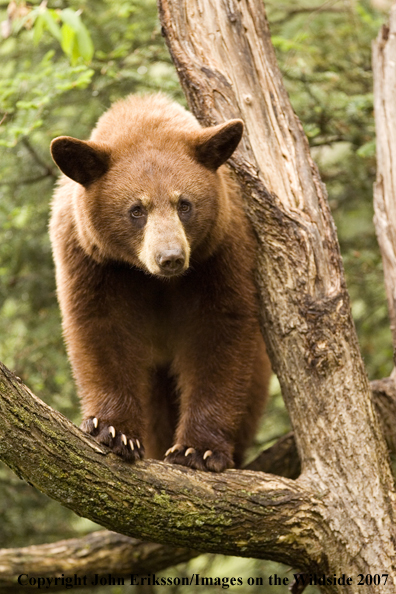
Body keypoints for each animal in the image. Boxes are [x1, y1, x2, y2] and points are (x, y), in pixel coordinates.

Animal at [49, 93, 270, 472]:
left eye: (185, 204)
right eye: (136, 210)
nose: (171, 258)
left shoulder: (222, 251)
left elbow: (219, 334)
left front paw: (198, 449)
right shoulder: (90, 258)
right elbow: (101, 329)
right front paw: (115, 431)